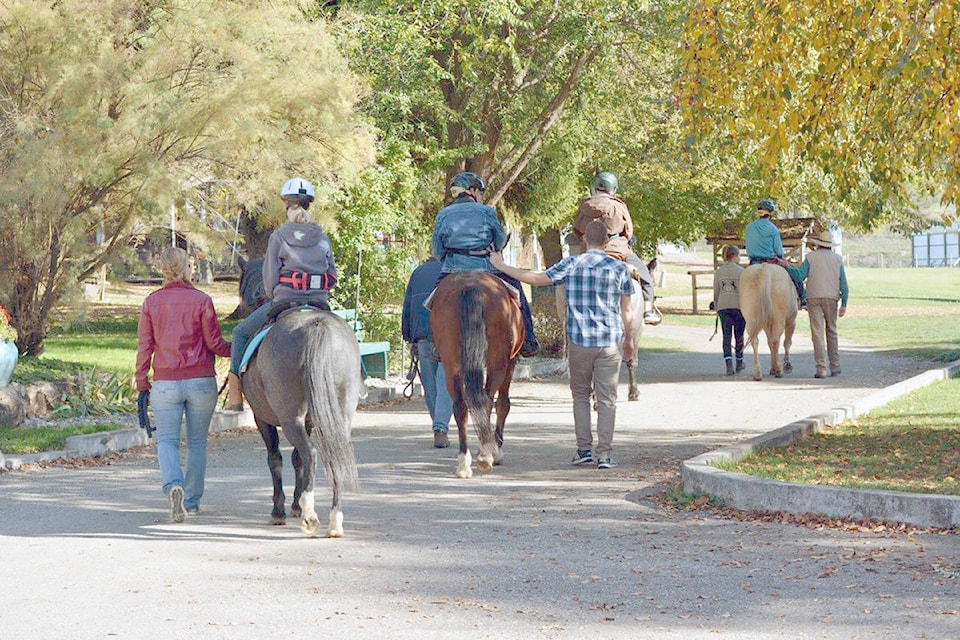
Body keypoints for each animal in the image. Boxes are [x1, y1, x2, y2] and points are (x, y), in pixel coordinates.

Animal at [430, 272, 520, 478]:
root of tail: (471, 284)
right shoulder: (511, 362)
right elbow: (503, 404)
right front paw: (496, 451)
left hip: (451, 365)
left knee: (460, 407)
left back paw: (464, 463)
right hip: (497, 363)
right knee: (487, 402)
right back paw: (486, 456)